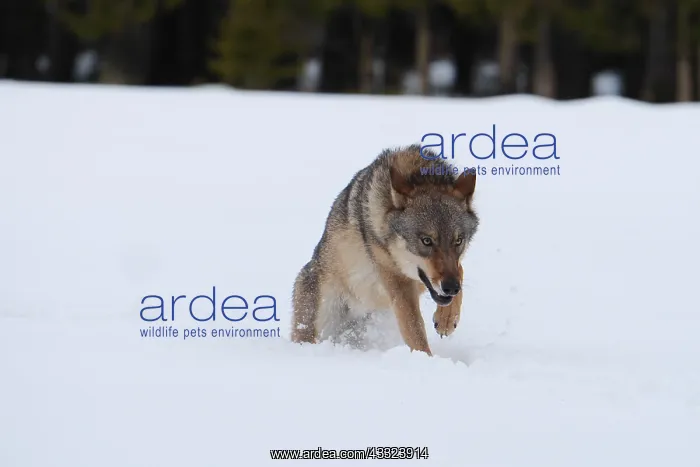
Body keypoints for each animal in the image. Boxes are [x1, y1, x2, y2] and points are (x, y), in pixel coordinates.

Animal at [291, 145, 479, 356]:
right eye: (427, 241)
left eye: (458, 240)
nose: (451, 287)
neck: (419, 174)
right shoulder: (397, 282)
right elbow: (415, 330)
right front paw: (426, 359)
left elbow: (460, 270)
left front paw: (447, 319)